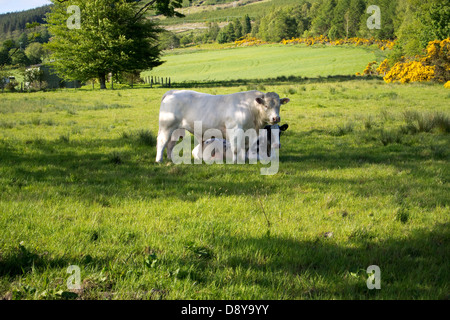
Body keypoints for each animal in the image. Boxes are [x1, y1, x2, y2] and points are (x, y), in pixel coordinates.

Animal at [155, 89, 290, 162]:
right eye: (266, 105)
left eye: (279, 105)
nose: (276, 118)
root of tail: (174, 92)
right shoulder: (234, 130)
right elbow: (236, 148)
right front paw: (235, 161)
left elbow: (246, 148)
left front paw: (245, 160)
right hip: (166, 126)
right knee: (162, 141)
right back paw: (159, 160)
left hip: (177, 130)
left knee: (170, 144)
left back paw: (170, 159)